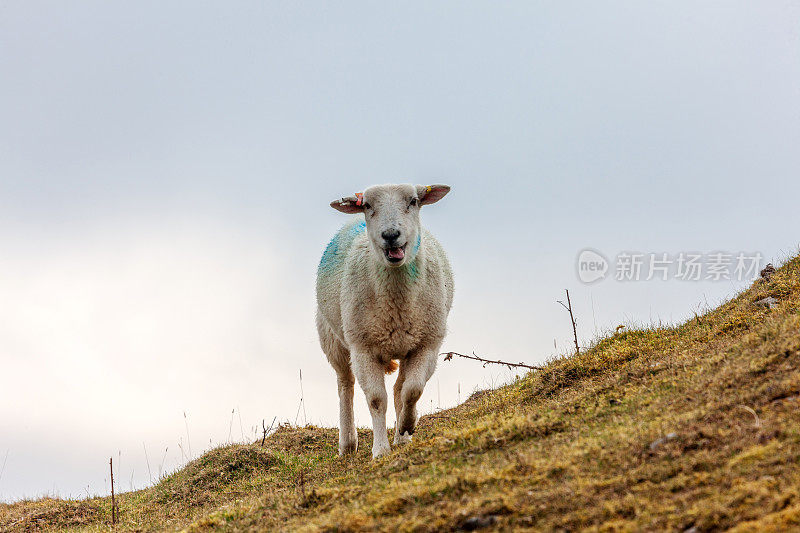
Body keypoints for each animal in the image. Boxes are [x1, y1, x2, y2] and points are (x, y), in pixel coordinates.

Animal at [318, 183, 456, 458]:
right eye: (367, 205)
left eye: (413, 201)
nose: (391, 234)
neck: (398, 305)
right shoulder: (363, 348)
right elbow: (376, 399)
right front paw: (380, 450)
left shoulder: (427, 344)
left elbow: (412, 390)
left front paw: (407, 426)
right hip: (332, 338)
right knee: (345, 385)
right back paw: (347, 444)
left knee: (398, 388)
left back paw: (401, 437)